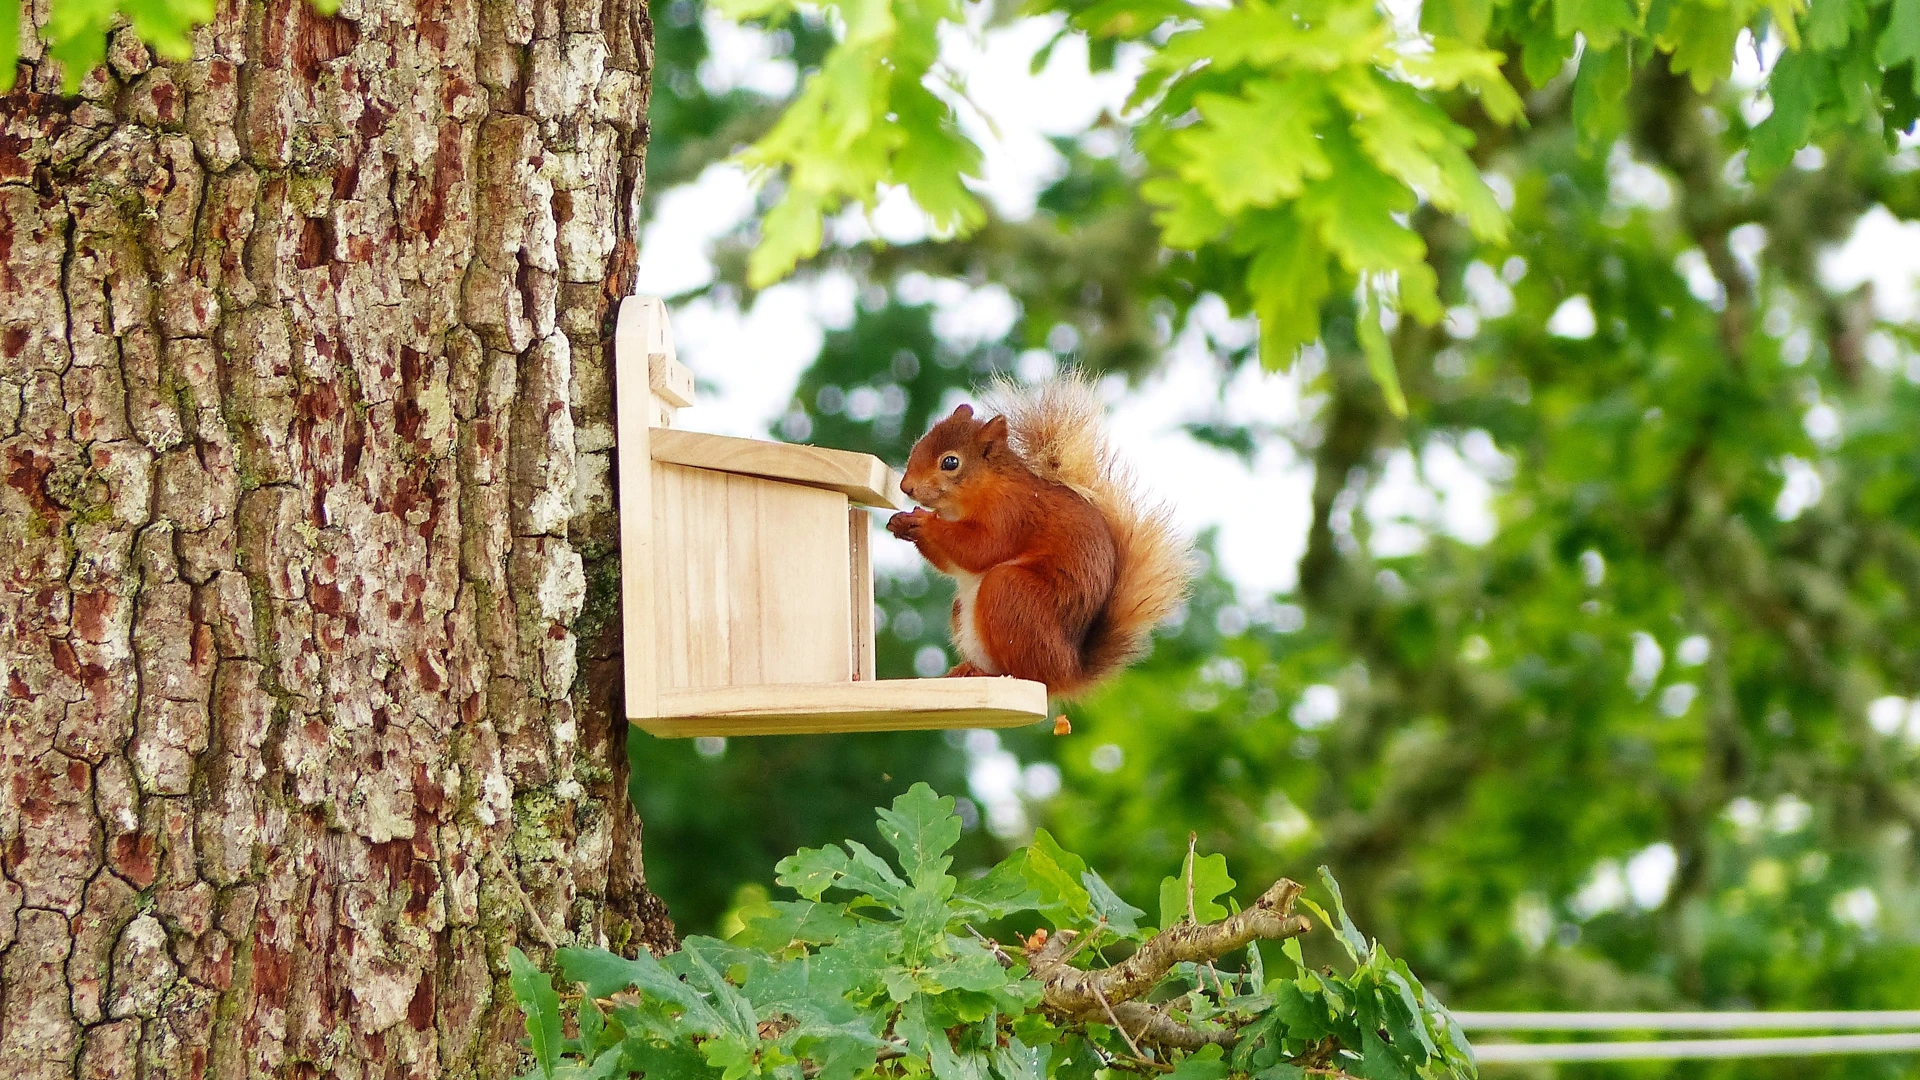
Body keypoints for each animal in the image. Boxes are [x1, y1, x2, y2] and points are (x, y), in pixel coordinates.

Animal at [886, 376, 1191, 698]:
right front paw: (901, 523)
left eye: (950, 462)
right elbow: (952, 562)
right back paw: (965, 670)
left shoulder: (1011, 512)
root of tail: (1068, 672)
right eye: (918, 445)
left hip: (1012, 594)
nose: (906, 487)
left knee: (1026, 672)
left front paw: (923, 522)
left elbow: (982, 548)